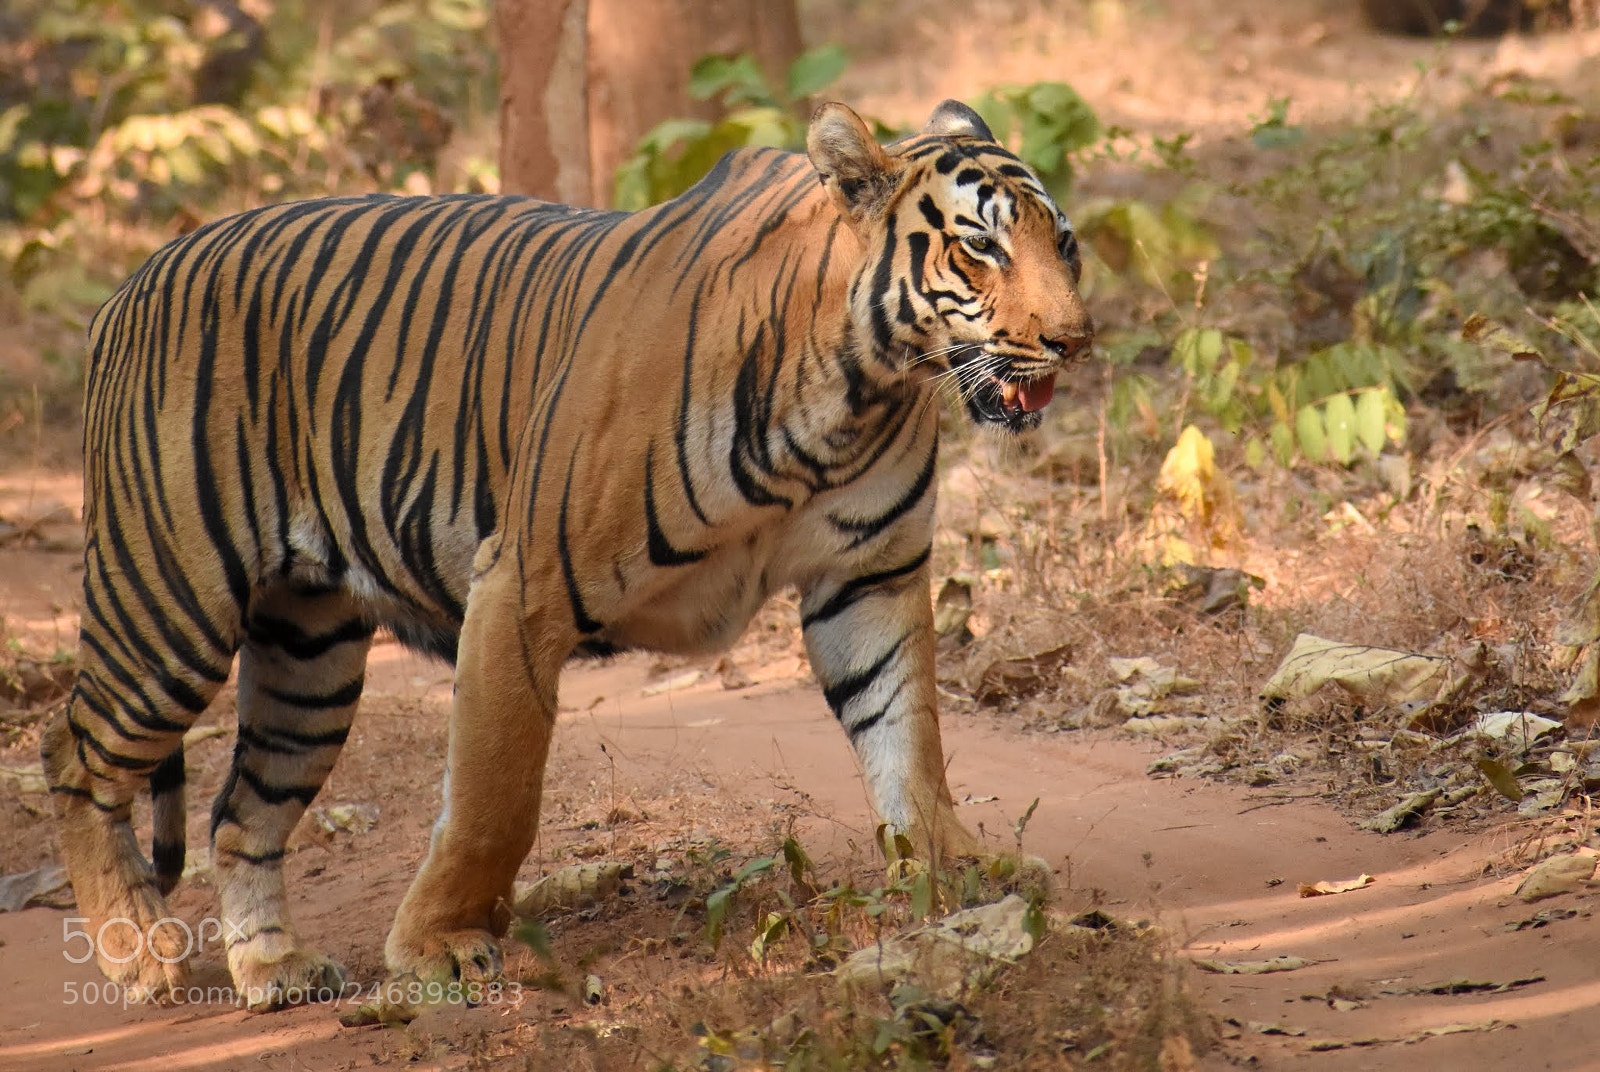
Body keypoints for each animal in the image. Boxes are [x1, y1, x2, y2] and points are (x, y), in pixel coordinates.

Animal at [41, 98, 1093, 1009]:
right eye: (983, 245)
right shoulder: (522, 586)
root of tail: (137, 278)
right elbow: (494, 795)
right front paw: (441, 946)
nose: (1075, 341)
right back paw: (139, 955)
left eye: (1066, 242)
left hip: (309, 653)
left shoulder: (867, 576)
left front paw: (959, 867)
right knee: (76, 753)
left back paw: (276, 970)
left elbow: (906, 735)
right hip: (168, 601)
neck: (858, 386)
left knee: (243, 810)